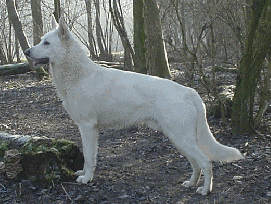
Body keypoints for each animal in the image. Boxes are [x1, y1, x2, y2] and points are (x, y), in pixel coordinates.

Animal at [23, 16, 244, 195]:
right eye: (41, 40)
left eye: (46, 42)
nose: (26, 51)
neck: (78, 74)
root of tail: (189, 92)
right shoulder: (88, 129)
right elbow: (88, 157)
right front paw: (84, 174)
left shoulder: (88, 127)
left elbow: (88, 157)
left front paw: (86, 179)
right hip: (178, 138)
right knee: (196, 164)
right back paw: (191, 184)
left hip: (180, 137)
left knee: (206, 162)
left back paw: (205, 190)